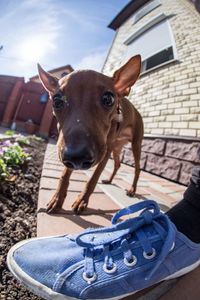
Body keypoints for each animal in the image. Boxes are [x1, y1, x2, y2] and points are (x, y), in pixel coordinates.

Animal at [38, 54, 144, 213]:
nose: (77, 157)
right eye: (56, 101)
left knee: (137, 169)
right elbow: (64, 175)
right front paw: (57, 199)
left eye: (108, 99)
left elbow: (93, 179)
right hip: (116, 147)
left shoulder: (104, 153)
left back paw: (132, 189)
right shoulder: (67, 149)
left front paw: (82, 200)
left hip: (135, 145)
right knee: (117, 164)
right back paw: (109, 180)